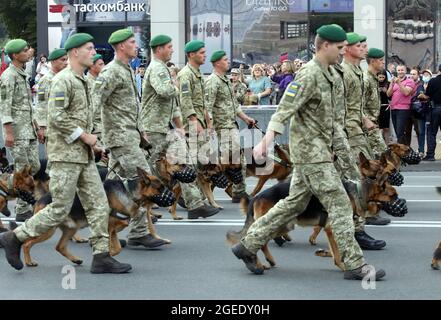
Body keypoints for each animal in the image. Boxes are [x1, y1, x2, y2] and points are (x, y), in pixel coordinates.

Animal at [21, 168, 174, 268]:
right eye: (161, 188)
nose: (173, 198)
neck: (129, 193)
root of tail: (43, 198)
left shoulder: (112, 231)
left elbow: (118, 248)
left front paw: (109, 255)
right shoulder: (108, 229)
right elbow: (112, 247)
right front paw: (107, 256)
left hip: (70, 229)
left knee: (60, 247)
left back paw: (75, 260)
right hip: (48, 230)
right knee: (27, 243)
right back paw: (28, 261)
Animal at [227, 154, 398, 270]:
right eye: (393, 195)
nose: (400, 202)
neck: (359, 192)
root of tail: (255, 198)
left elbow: (335, 248)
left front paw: (325, 253)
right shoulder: (331, 229)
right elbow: (337, 251)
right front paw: (343, 265)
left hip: (284, 225)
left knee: (260, 239)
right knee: (257, 240)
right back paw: (259, 262)